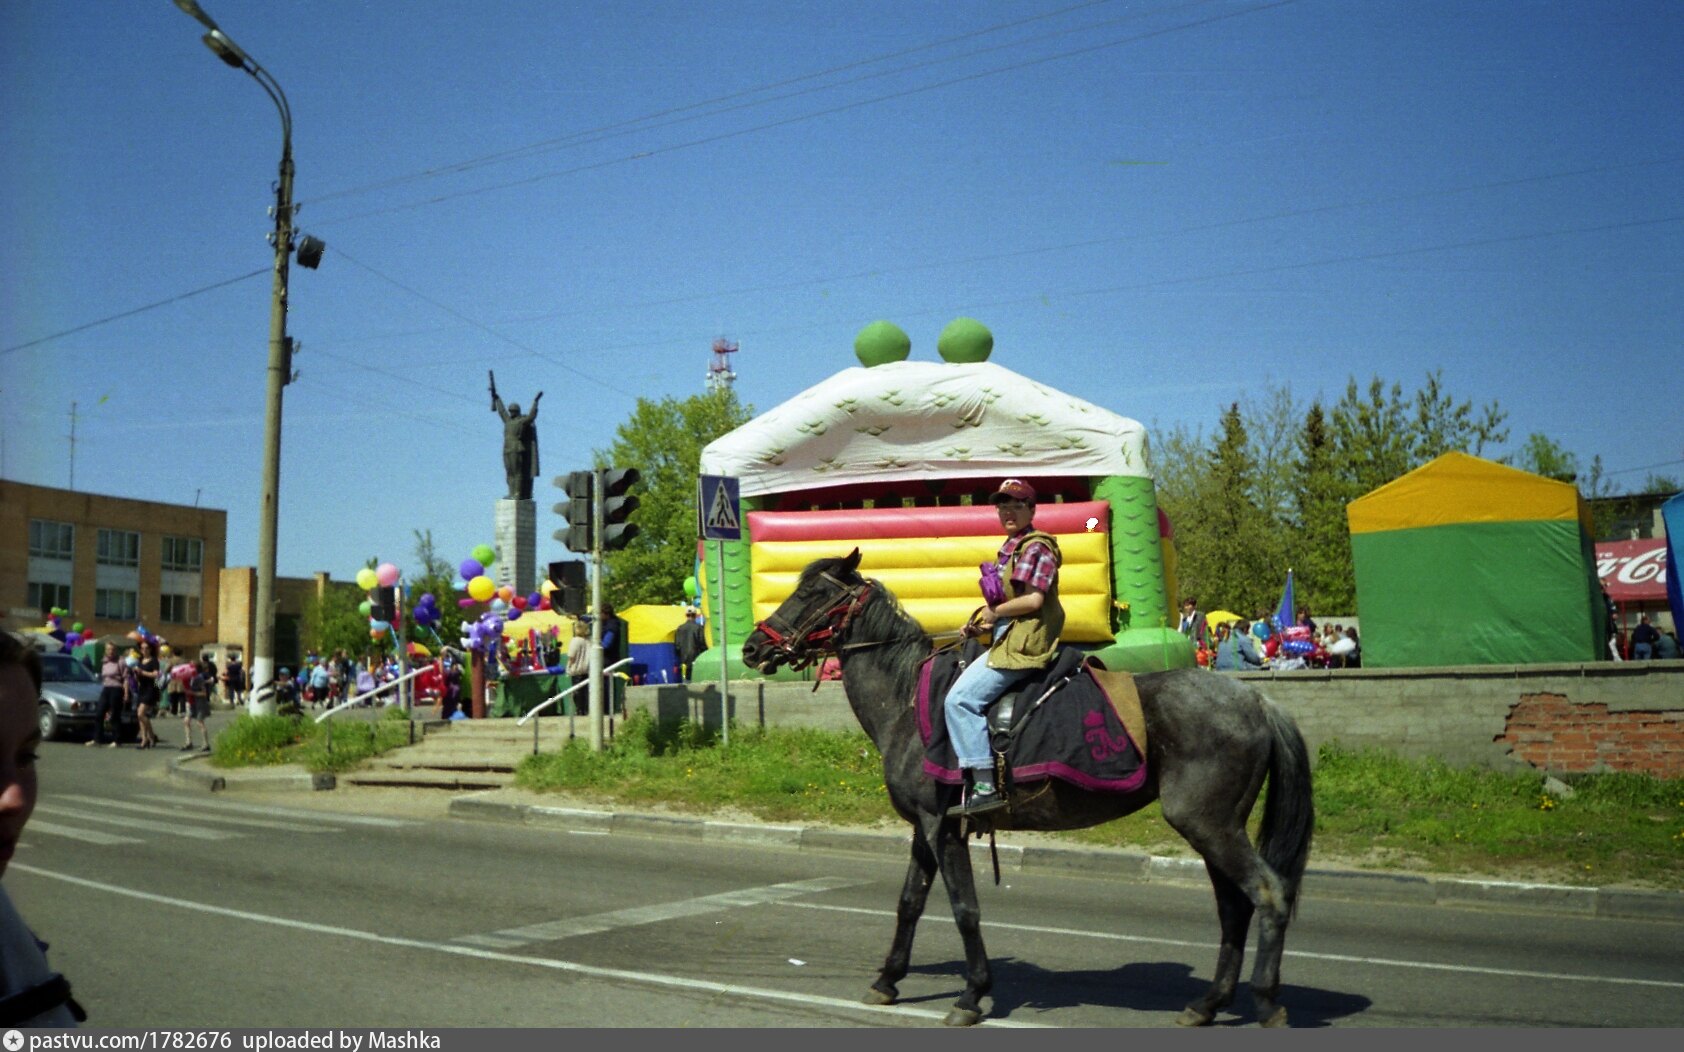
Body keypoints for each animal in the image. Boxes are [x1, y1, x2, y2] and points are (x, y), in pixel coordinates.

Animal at [740, 548, 1313, 1023]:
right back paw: (1209, 1003)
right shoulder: (923, 827)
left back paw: (1266, 1001)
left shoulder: (944, 827)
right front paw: (888, 980)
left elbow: (964, 908)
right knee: (1234, 908)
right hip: (1212, 828)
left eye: (811, 594)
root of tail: (1258, 700)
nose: (751, 647)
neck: (908, 702)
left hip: (1208, 825)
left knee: (1267, 894)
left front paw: (972, 994)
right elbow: (910, 903)